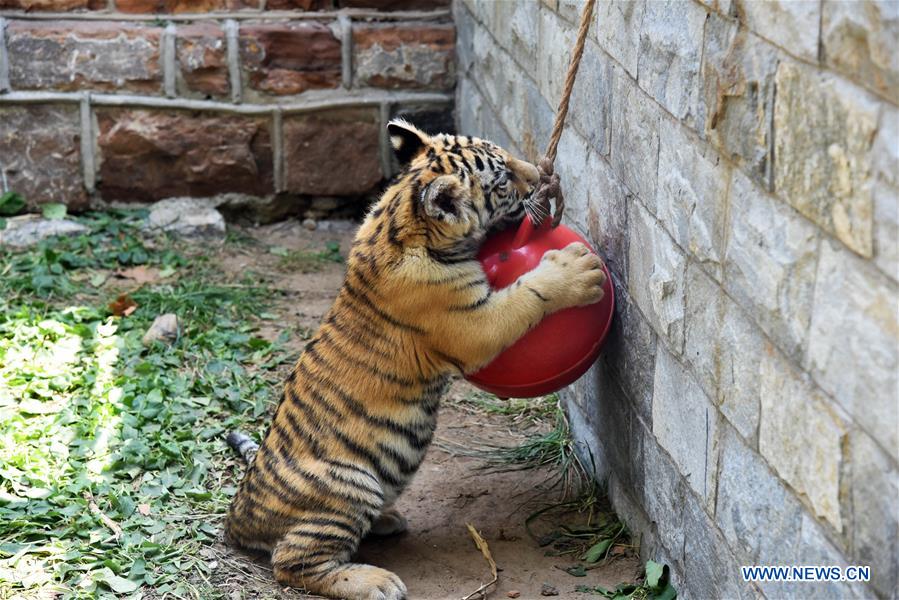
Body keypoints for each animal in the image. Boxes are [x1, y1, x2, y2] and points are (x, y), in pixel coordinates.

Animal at [223, 120, 606, 600]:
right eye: (502, 182)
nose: (540, 176)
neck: (403, 214)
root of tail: (238, 517)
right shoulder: (474, 324)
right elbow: (528, 294)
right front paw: (575, 271)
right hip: (351, 484)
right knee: (292, 562)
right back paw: (375, 581)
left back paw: (386, 521)